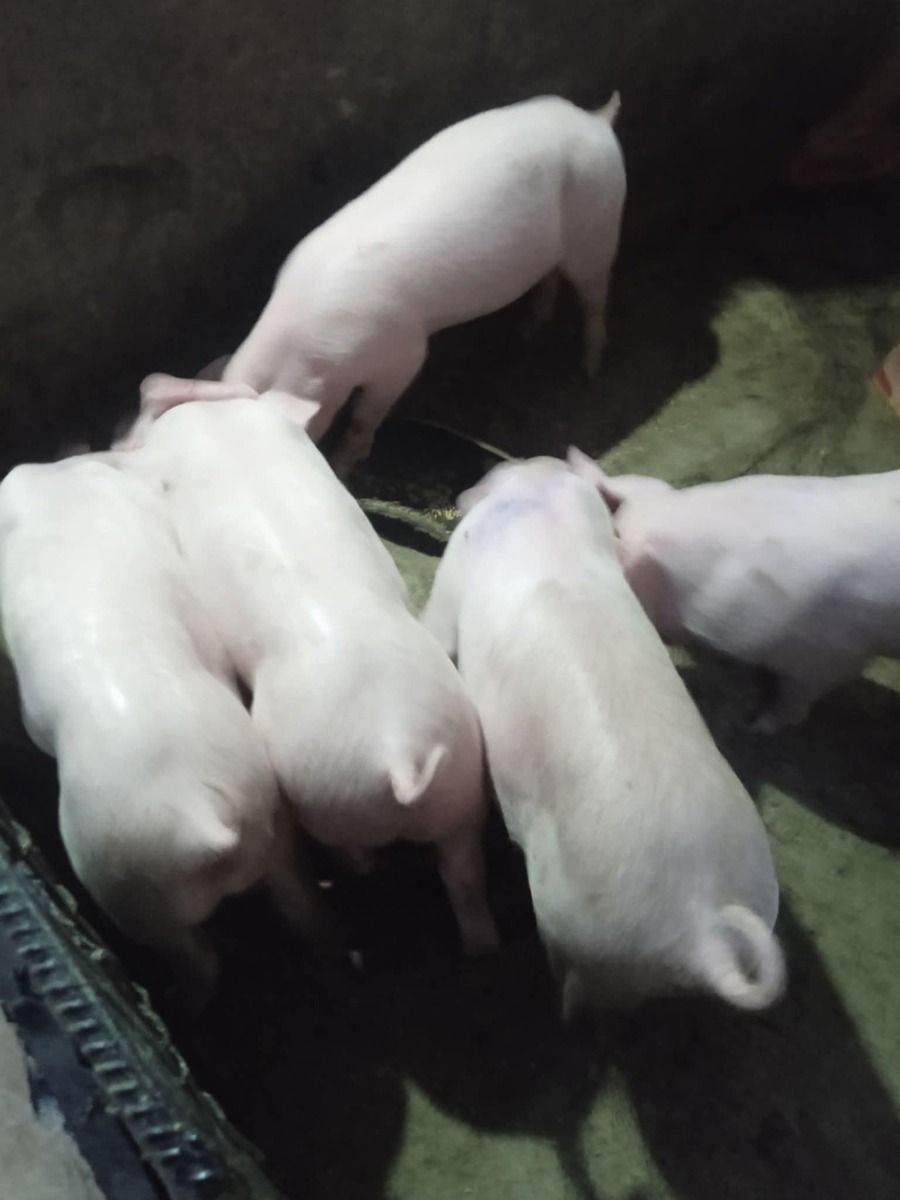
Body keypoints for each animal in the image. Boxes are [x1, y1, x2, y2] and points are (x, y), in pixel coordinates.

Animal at [0, 454, 327, 1008]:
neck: (66, 493)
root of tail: (200, 819)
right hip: (262, 799)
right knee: (295, 894)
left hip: (119, 875)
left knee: (196, 956)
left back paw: (181, 999)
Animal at [125, 394, 498, 955]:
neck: (223, 436)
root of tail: (399, 755)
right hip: (459, 779)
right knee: (465, 871)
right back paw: (484, 946)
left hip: (324, 792)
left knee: (355, 856)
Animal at [165, 93, 624, 475]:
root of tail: (596, 121)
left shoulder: (403, 352)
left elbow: (368, 413)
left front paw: (345, 464)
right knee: (552, 279)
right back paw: (529, 330)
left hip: (598, 224)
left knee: (595, 295)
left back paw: (587, 369)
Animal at [421, 454, 784, 1016]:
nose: (460, 494)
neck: (545, 509)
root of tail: (700, 927)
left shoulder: (458, 565)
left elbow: (437, 626)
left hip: (576, 926)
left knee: (575, 984)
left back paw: (555, 1002)